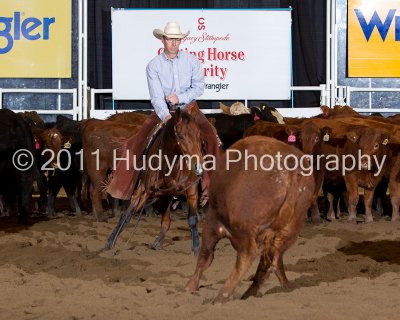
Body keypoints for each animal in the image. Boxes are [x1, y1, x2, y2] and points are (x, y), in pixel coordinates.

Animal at [104, 109, 205, 254]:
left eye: (199, 136)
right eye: (180, 136)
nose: (199, 167)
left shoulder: (192, 190)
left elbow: (192, 218)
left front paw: (196, 247)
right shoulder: (145, 189)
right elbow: (128, 213)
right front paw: (110, 241)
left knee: (166, 220)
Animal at [186, 136, 314, 304]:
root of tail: (292, 173)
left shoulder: (212, 222)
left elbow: (205, 255)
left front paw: (191, 285)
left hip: (243, 228)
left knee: (248, 254)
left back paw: (222, 295)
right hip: (290, 230)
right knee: (274, 256)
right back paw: (254, 291)